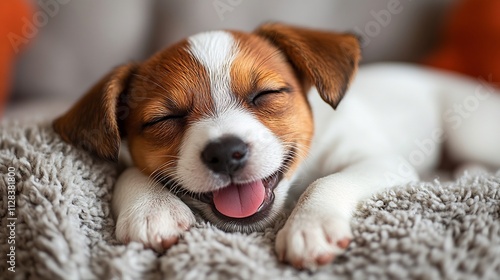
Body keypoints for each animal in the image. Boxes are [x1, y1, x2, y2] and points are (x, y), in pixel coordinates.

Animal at [53, 22, 500, 270]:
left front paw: (310, 225)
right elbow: (129, 168)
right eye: (165, 119)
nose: (226, 152)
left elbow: (328, 181)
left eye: (265, 94)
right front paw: (151, 206)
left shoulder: (382, 161)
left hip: (472, 132)